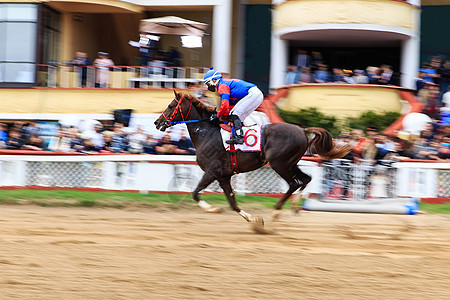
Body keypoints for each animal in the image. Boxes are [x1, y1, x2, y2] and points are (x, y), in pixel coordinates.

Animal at [155, 91, 352, 227]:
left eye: (171, 105)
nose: (157, 122)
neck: (207, 133)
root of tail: (302, 130)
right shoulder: (224, 176)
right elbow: (232, 202)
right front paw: (254, 219)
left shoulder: (212, 171)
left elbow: (195, 193)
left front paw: (212, 208)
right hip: (291, 163)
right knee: (305, 179)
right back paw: (295, 206)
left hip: (279, 163)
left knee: (294, 183)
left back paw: (277, 211)